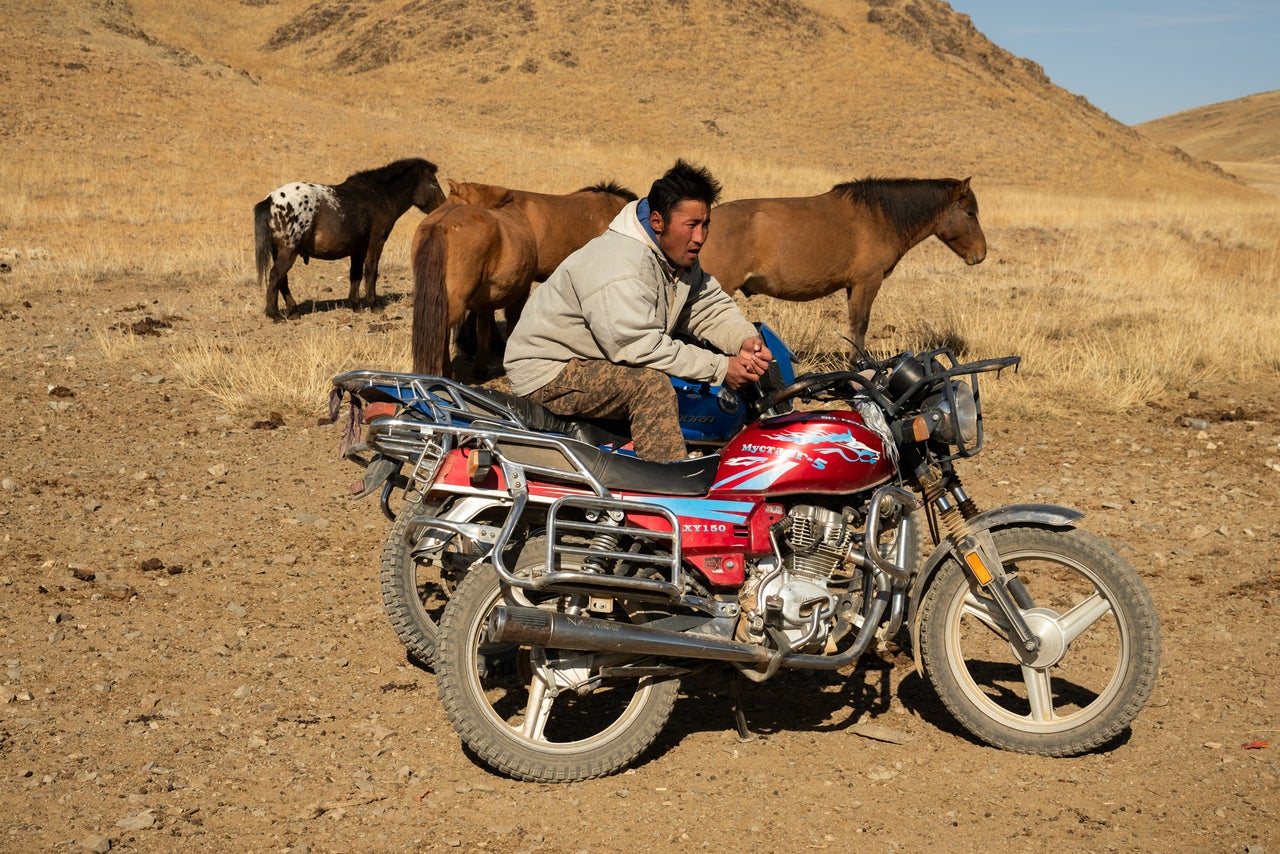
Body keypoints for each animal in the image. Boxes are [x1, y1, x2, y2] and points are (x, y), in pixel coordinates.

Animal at [252, 156, 448, 320]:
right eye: (434, 184)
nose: (443, 207)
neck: (378, 195)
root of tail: (270, 201)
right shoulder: (376, 243)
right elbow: (371, 272)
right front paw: (373, 305)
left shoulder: (358, 249)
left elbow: (356, 274)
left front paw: (356, 305)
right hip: (289, 251)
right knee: (276, 275)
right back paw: (274, 314)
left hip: (279, 251)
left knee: (282, 279)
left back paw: (293, 311)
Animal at [701, 175, 988, 348]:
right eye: (969, 213)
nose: (981, 254)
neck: (881, 217)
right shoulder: (867, 282)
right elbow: (860, 324)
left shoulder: (854, 286)